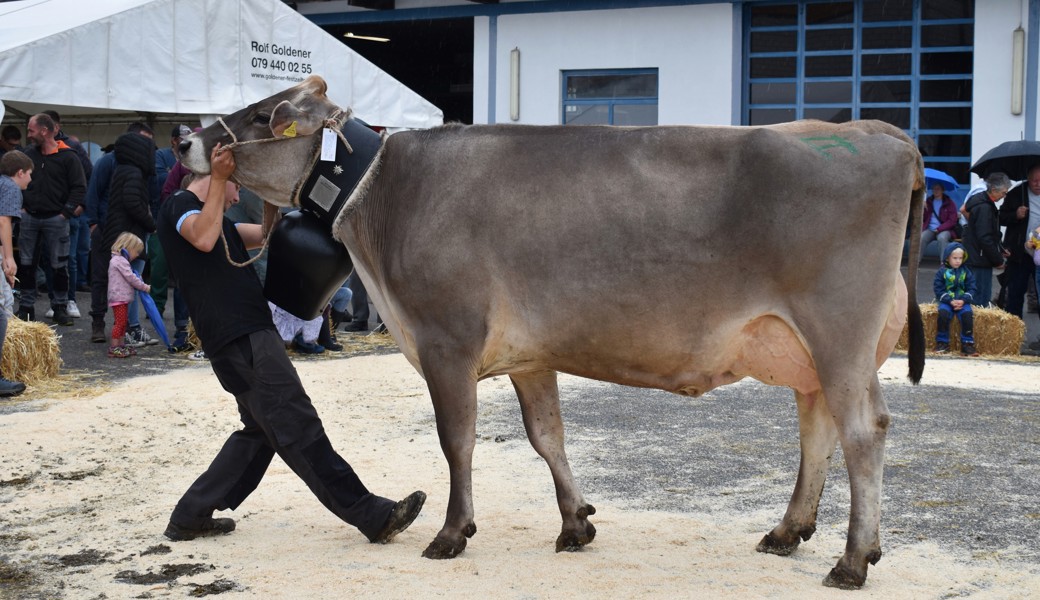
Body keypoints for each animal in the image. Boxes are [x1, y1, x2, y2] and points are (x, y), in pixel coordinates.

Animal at [180, 75, 927, 590]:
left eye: (261, 116)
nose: (185, 137)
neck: (384, 197)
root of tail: (877, 132)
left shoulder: (446, 341)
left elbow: (458, 441)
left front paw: (451, 532)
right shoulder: (528, 356)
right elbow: (547, 437)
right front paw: (576, 523)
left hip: (838, 334)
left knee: (863, 433)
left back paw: (852, 560)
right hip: (808, 350)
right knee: (818, 431)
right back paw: (788, 531)